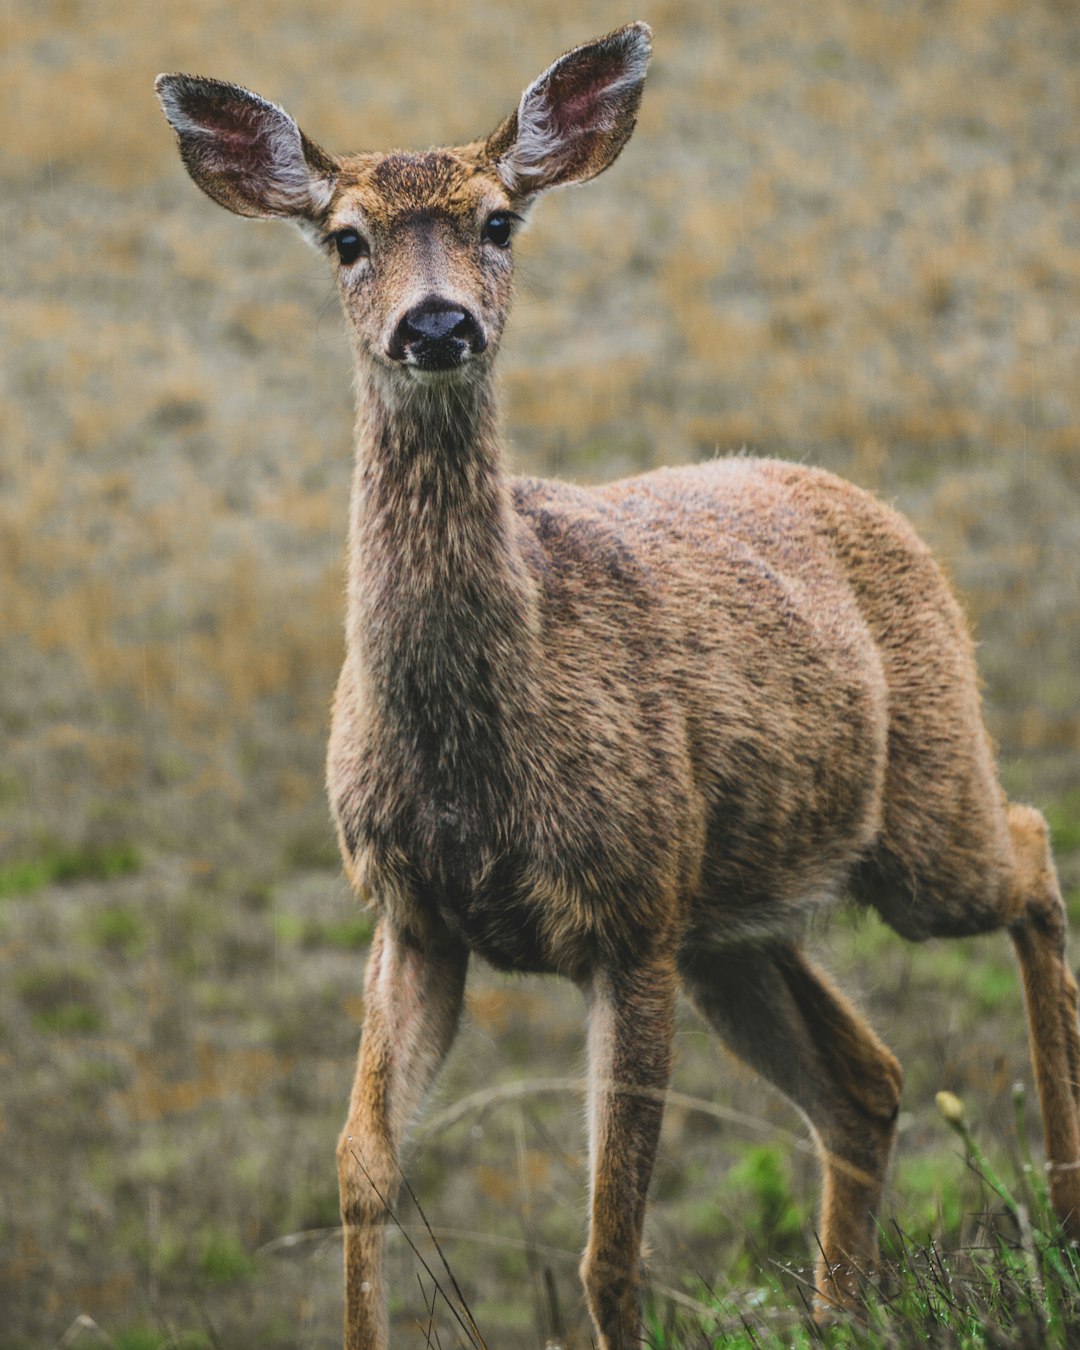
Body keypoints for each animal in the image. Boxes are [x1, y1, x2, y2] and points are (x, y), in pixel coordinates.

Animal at [157, 23, 1080, 1350]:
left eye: (498, 221)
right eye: (345, 237)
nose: (436, 325)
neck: (478, 745)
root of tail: (879, 509)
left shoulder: (627, 913)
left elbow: (607, 1246)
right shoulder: (414, 912)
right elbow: (362, 1171)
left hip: (913, 813)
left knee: (1032, 850)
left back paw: (1060, 1201)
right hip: (733, 915)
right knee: (868, 1079)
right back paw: (841, 1309)